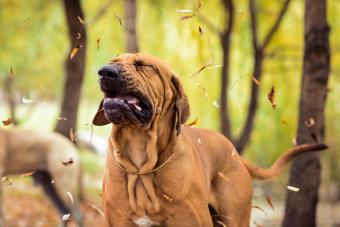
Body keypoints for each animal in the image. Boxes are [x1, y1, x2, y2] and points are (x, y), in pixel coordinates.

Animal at [93, 53, 326, 227]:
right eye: (113, 61)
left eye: (142, 65)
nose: (105, 71)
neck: (142, 166)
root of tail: (236, 154)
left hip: (234, 216)